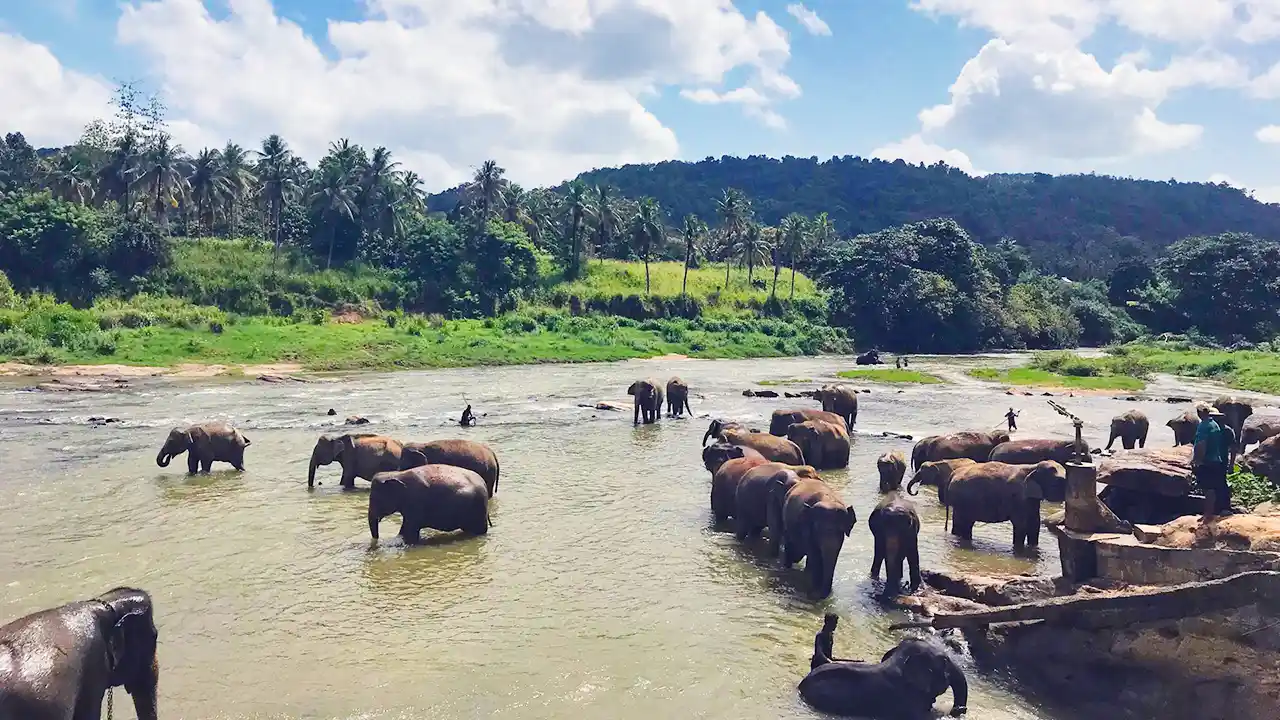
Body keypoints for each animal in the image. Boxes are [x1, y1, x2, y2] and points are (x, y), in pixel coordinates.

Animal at [908, 460, 1064, 551]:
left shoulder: (1030, 499)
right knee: (964, 523)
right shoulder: (1018, 498)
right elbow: (1021, 525)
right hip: (962, 500)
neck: (1033, 467)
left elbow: (1034, 524)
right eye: (1060, 481)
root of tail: (953, 474)